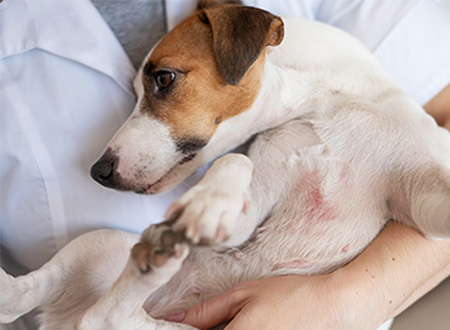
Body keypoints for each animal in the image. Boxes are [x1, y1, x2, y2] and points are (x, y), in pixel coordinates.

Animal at [0, 3, 450, 330]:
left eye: (163, 78)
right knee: (71, 308)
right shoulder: (249, 210)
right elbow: (236, 159)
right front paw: (210, 201)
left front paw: (209, 202)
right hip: (101, 245)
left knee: (97, 316)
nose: (99, 171)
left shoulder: (422, 199)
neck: (326, 101)